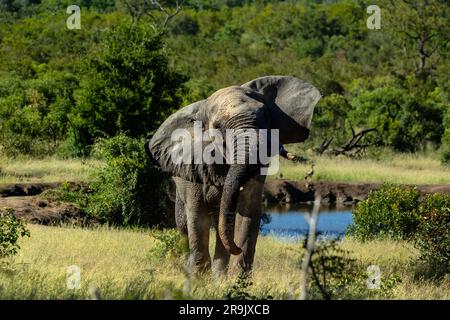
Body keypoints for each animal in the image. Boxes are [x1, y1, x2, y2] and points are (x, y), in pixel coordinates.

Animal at [145, 75, 320, 276]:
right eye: (218, 127)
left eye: (267, 117)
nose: (236, 247)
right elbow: (197, 216)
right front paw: (198, 277)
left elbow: (248, 212)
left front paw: (236, 280)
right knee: (184, 223)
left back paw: (218, 275)